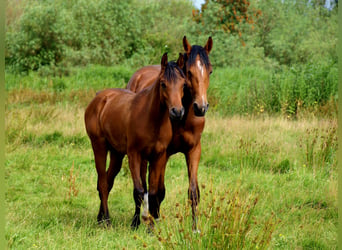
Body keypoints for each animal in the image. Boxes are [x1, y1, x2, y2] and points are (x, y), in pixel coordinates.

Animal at [84, 53, 186, 229]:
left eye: (183, 84)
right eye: (163, 84)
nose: (177, 112)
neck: (152, 119)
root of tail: (99, 98)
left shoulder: (158, 157)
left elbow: (153, 193)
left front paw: (151, 228)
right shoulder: (134, 155)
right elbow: (139, 191)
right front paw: (136, 223)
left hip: (116, 154)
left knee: (107, 182)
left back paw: (100, 218)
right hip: (99, 147)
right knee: (103, 183)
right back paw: (107, 221)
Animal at [127, 36, 212, 231]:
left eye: (210, 71)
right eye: (188, 72)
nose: (201, 107)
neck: (183, 117)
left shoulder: (194, 150)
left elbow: (193, 192)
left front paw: (195, 228)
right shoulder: (163, 153)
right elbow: (158, 191)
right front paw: (154, 220)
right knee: (143, 183)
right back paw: (141, 218)